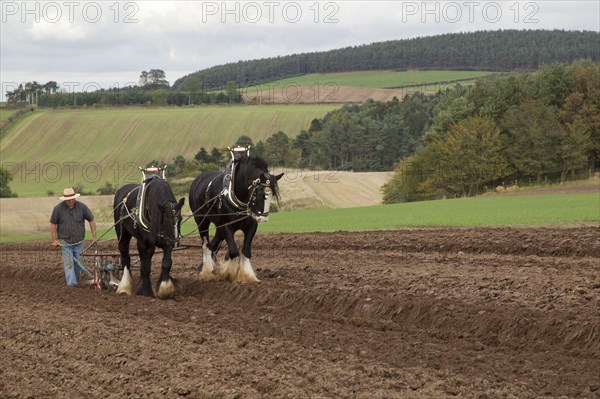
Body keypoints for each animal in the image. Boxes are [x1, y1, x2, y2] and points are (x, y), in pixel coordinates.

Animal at [190, 152, 284, 282]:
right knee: (205, 244)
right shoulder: (226, 226)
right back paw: (206, 271)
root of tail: (197, 179)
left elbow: (246, 251)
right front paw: (230, 273)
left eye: (272, 195)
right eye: (259, 193)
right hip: (201, 220)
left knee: (213, 244)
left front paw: (248, 276)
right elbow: (234, 251)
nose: (263, 218)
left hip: (218, 225)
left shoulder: (251, 226)